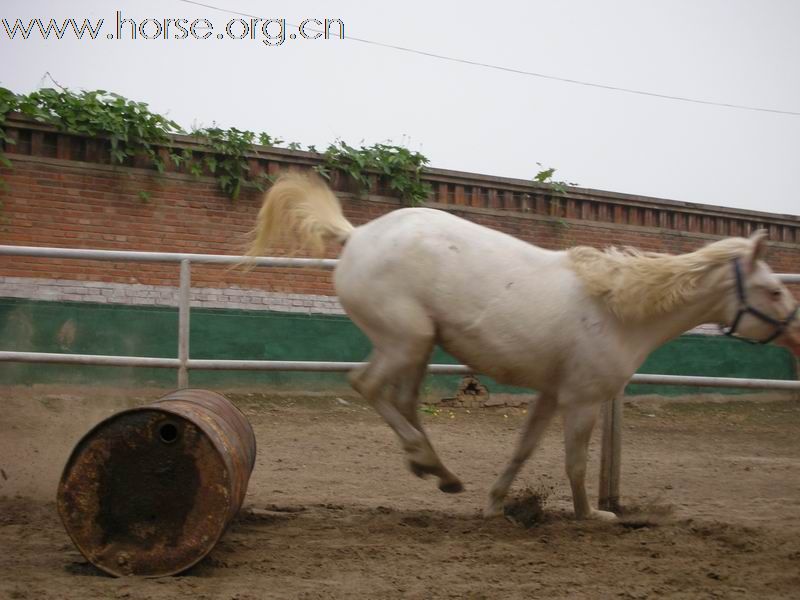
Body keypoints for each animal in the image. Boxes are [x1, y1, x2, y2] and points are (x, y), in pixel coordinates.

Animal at [247, 173, 796, 520]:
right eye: (774, 290)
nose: (796, 333)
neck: (618, 309)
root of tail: (356, 235)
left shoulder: (551, 394)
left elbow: (523, 449)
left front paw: (494, 505)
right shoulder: (581, 400)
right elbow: (574, 462)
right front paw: (591, 515)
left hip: (417, 345)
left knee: (401, 399)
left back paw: (440, 472)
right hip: (407, 340)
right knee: (367, 386)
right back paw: (426, 461)